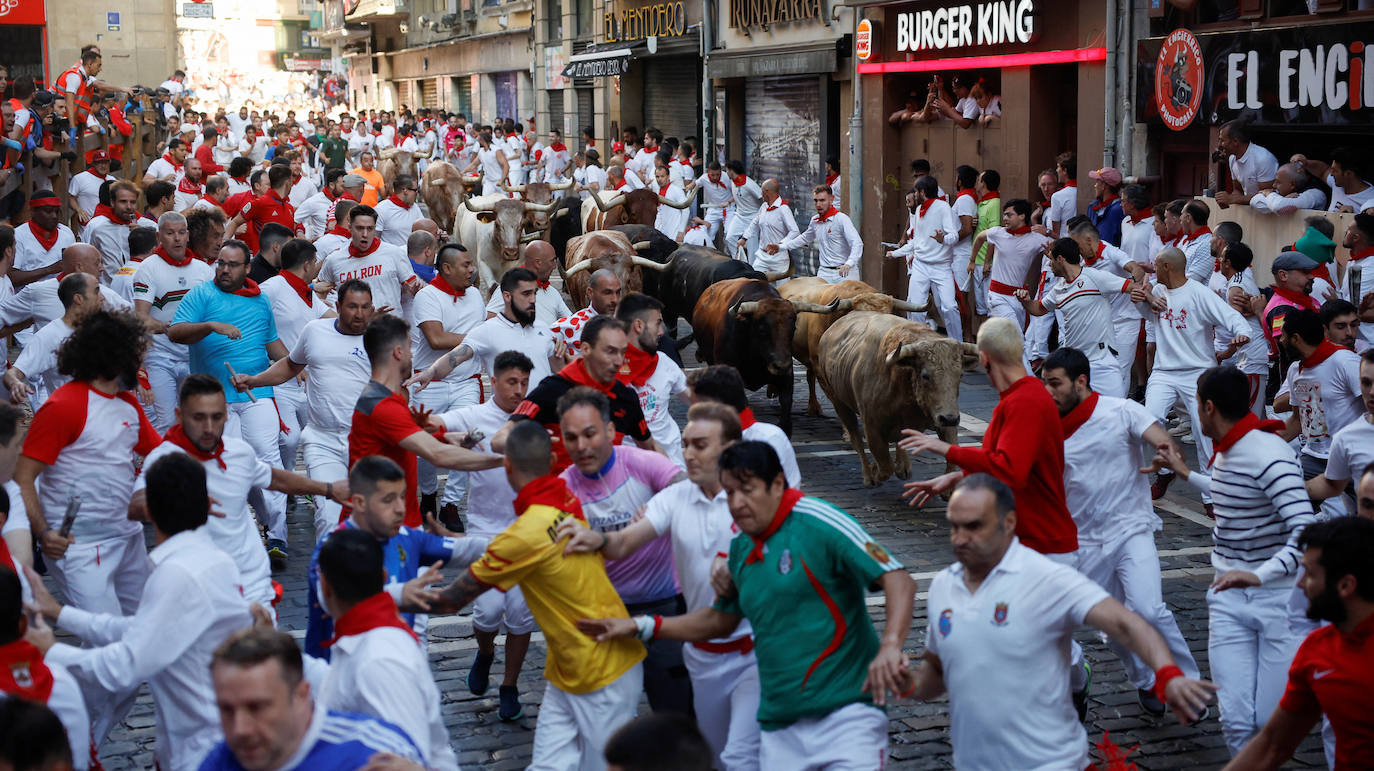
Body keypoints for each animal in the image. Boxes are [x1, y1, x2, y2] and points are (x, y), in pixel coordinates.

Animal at [813, 309, 978, 483]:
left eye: (960, 375)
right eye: (925, 375)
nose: (950, 419)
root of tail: (830, 331)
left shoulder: (944, 418)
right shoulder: (871, 425)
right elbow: (885, 466)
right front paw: (874, 471)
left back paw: (902, 467)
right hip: (840, 403)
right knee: (855, 438)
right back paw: (869, 475)